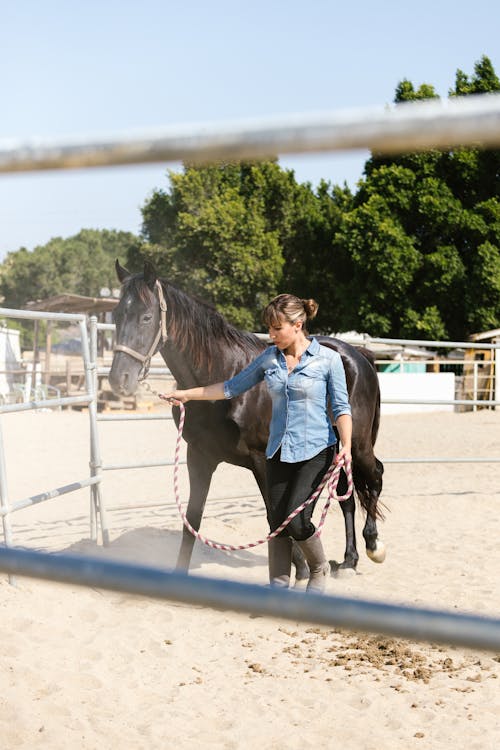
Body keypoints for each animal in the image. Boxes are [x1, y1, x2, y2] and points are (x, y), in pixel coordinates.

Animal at [107, 260, 384, 580]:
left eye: (146, 317)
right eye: (116, 315)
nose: (119, 379)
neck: (224, 374)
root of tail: (357, 354)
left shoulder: (262, 461)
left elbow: (275, 518)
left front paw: (300, 569)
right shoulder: (199, 457)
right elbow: (193, 519)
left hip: (357, 444)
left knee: (374, 475)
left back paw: (372, 546)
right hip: (338, 450)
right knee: (345, 495)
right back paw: (349, 560)